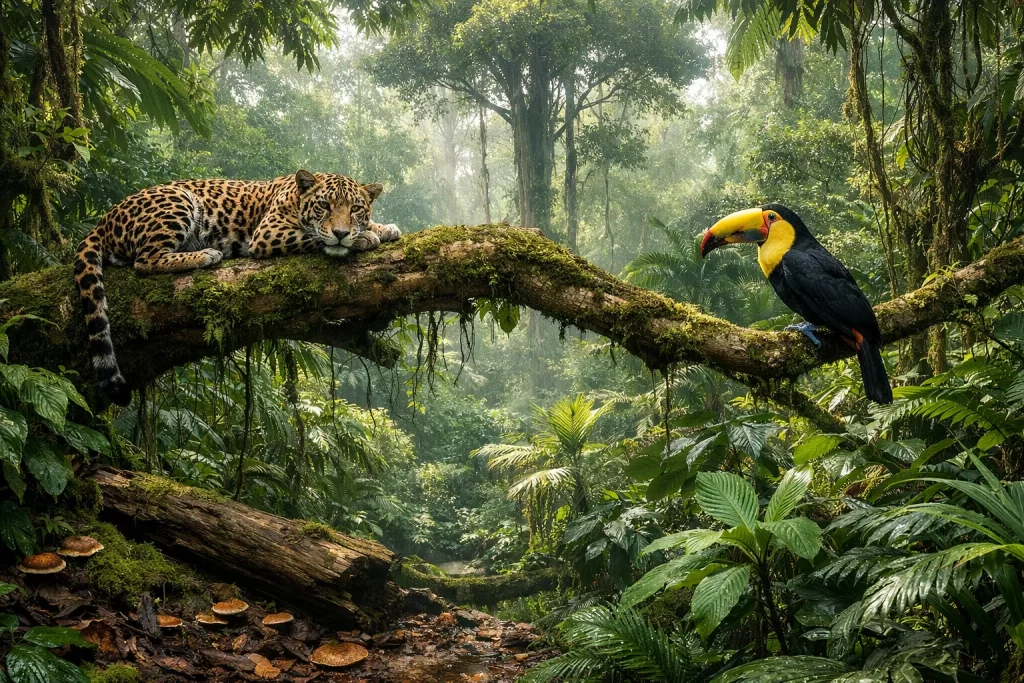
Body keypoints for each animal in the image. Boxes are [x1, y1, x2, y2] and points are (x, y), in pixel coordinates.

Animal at [74, 169, 402, 406]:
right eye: (324, 206)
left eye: (356, 208)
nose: (342, 232)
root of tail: (103, 219)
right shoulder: (268, 233)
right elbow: (314, 236)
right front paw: (362, 238)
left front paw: (382, 228)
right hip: (177, 200)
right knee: (144, 260)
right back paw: (205, 254)